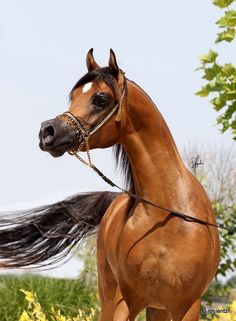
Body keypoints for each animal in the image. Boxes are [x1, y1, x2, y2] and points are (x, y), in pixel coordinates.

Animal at [0, 48, 219, 318]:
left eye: (101, 99)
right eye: (73, 96)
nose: (47, 131)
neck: (168, 216)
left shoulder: (188, 307)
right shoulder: (125, 301)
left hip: (157, 308)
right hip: (110, 293)